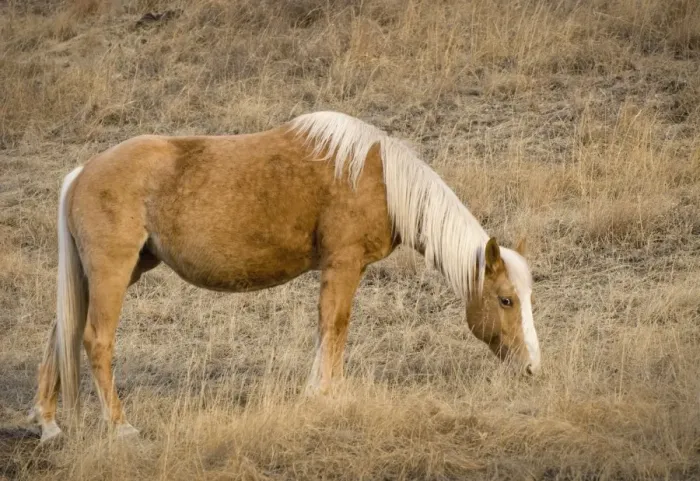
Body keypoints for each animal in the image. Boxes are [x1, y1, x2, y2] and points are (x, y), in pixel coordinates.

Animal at [29, 111, 541, 444]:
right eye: (506, 300)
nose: (533, 368)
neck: (376, 176)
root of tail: (82, 172)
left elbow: (330, 329)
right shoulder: (343, 264)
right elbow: (334, 325)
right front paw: (326, 393)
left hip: (117, 271)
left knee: (62, 331)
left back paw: (50, 424)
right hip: (112, 272)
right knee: (95, 340)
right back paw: (120, 428)